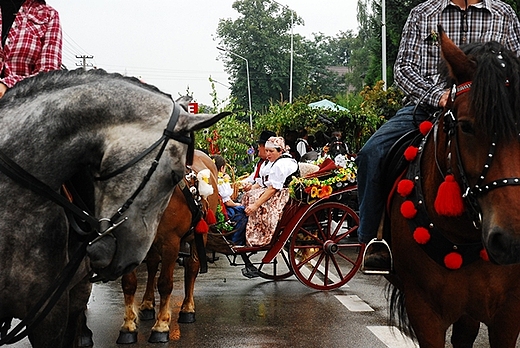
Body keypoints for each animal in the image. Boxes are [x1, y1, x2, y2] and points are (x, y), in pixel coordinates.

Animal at [118, 150, 219, 346]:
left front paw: (161, 326)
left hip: (199, 235)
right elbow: (129, 283)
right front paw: (128, 325)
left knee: (192, 268)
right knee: (152, 264)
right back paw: (147, 304)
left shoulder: (170, 242)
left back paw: (187, 308)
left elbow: (165, 283)